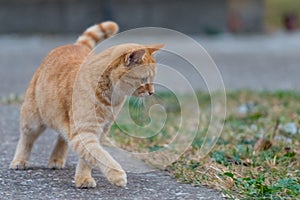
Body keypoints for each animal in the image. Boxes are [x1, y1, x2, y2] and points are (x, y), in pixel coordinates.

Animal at [9, 21, 164, 188]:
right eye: (144, 79)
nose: (152, 92)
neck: (110, 97)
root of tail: (74, 45)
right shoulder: (85, 132)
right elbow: (100, 155)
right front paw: (116, 175)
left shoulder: (98, 132)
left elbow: (88, 158)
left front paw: (83, 178)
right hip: (33, 120)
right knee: (26, 139)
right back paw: (19, 161)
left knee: (62, 138)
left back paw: (56, 160)